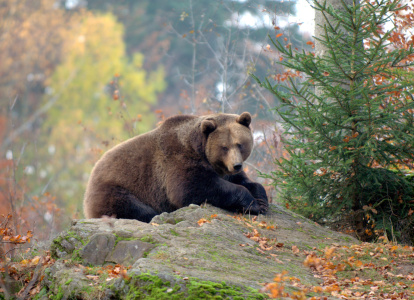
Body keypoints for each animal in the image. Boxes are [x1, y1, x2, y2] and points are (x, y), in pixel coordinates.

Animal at [83, 111, 268, 221]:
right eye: (224, 147)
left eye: (240, 144)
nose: (236, 165)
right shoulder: (179, 159)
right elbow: (191, 188)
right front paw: (252, 204)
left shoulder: (225, 170)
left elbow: (245, 181)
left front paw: (261, 199)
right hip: (115, 189)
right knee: (134, 208)